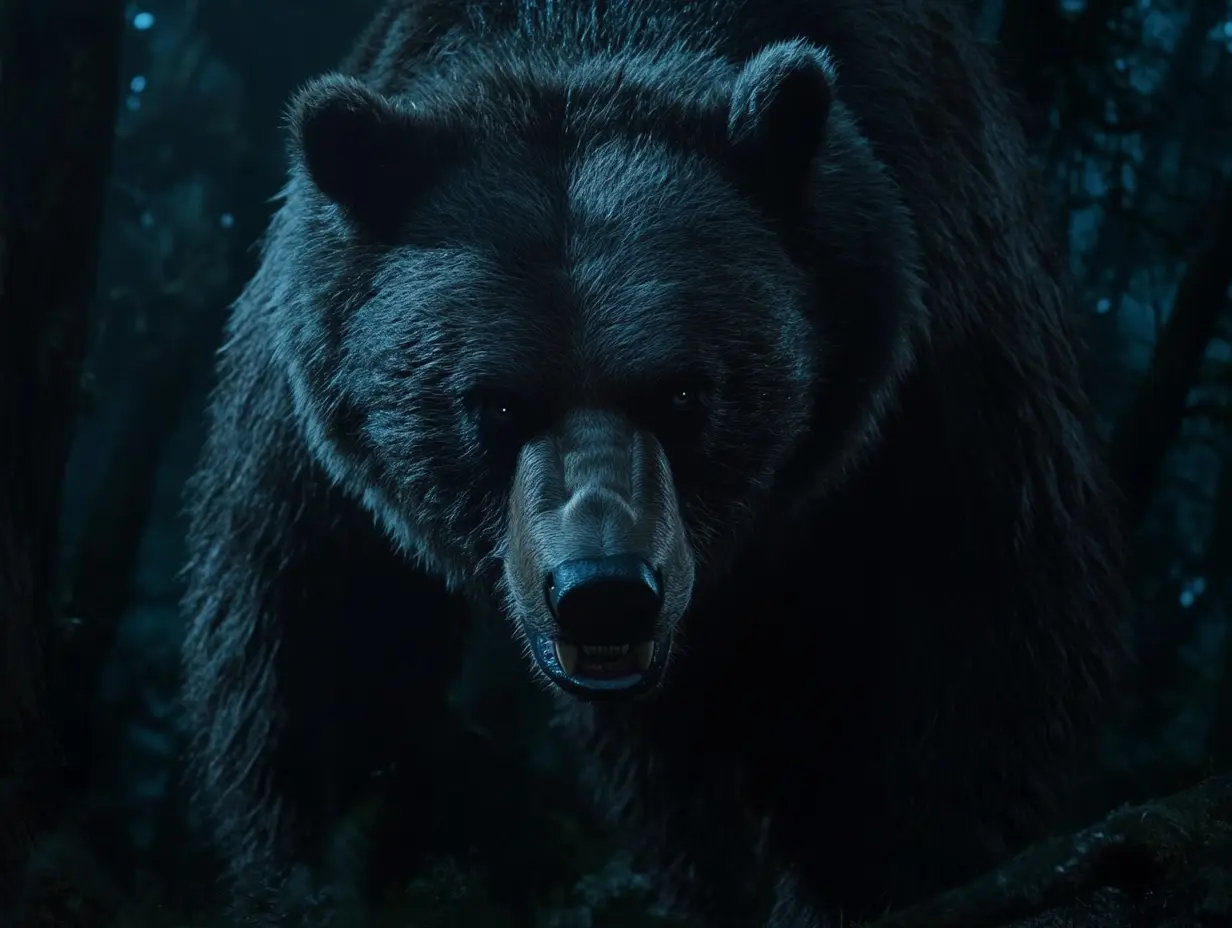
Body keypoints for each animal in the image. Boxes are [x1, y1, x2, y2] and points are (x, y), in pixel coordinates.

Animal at [180, 0, 1128, 924]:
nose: (603, 590)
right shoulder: (319, 435)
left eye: (683, 393)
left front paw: (886, 871)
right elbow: (319, 652)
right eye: (493, 402)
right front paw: (316, 868)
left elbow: (962, 624)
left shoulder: (930, 338)